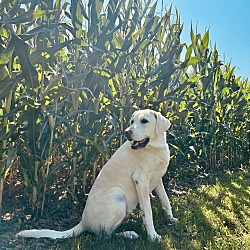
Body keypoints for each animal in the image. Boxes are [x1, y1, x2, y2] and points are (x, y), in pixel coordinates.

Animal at [16, 109, 178, 240]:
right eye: (132, 122)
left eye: (144, 121)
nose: (127, 132)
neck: (155, 148)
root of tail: (83, 222)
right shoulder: (141, 180)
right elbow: (148, 211)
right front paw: (153, 236)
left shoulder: (157, 179)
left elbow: (165, 201)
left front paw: (171, 219)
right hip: (117, 196)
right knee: (105, 235)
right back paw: (128, 234)